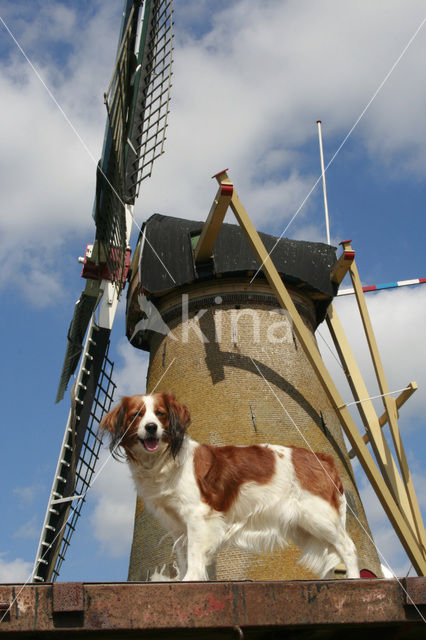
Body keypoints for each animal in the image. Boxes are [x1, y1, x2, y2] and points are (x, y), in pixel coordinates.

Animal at [100, 390, 360, 580]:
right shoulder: (178, 526)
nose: (151, 427)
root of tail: (322, 457)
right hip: (305, 528)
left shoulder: (197, 517)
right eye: (137, 415)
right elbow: (184, 556)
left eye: (160, 414)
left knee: (347, 546)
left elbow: (194, 555)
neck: (163, 461)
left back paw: (354, 579)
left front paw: (190, 580)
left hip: (319, 517)